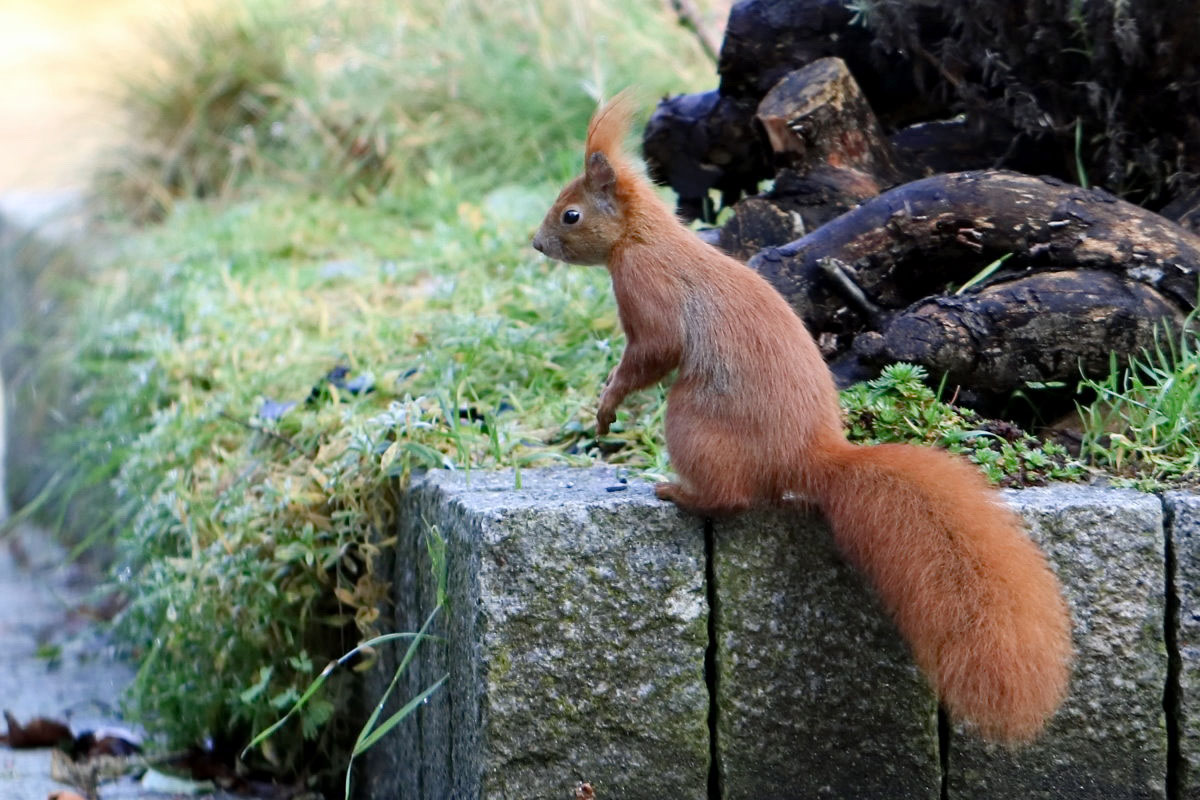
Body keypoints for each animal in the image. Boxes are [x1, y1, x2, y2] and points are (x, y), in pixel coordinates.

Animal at [530, 95, 1075, 743]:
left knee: (734, 498)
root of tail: (810, 458)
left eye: (571, 215)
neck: (645, 237)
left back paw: (681, 493)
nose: (536, 245)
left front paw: (608, 404)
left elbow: (653, 353)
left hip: (692, 420)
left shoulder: (649, 289)